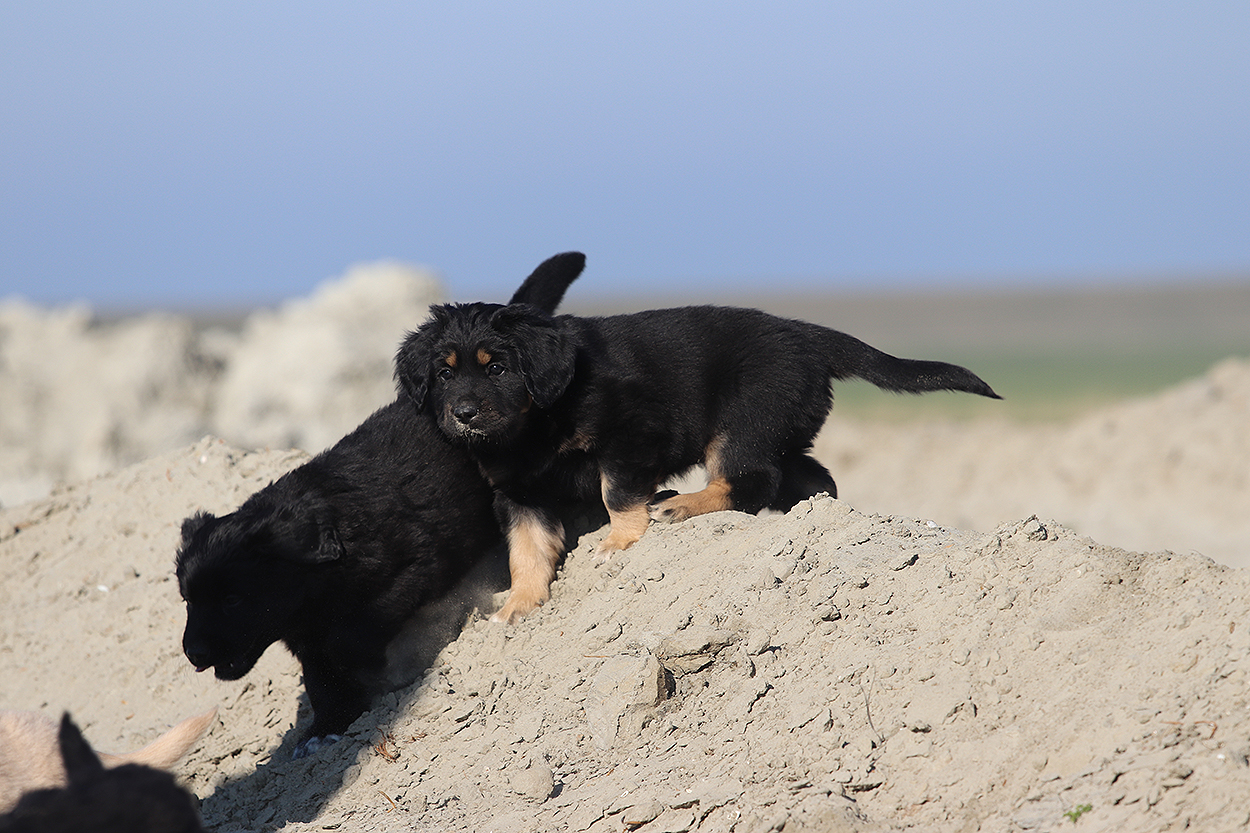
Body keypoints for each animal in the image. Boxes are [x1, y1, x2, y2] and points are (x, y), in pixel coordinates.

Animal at [176, 252, 586, 756]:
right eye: (188, 600)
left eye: (233, 599)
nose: (193, 653)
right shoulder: (304, 633)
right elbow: (322, 679)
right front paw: (327, 727)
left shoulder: (412, 571)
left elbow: (349, 641)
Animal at [395, 254, 1001, 623]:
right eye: (444, 373)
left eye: (496, 367)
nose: (464, 415)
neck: (532, 424)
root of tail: (804, 335)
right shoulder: (518, 492)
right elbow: (526, 548)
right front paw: (519, 603)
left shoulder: (628, 438)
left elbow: (616, 494)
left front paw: (619, 540)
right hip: (779, 426)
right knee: (808, 477)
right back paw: (805, 513)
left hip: (745, 422)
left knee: (751, 480)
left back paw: (681, 504)